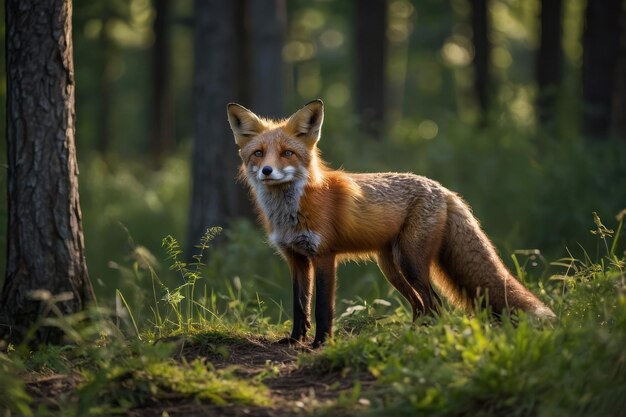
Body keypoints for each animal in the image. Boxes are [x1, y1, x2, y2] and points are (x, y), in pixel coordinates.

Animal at [227, 99, 552, 346]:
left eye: (287, 153)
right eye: (258, 153)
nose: (267, 171)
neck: (292, 210)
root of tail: (443, 189)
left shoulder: (324, 255)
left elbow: (321, 308)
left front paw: (320, 343)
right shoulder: (295, 258)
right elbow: (299, 305)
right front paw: (295, 340)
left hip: (410, 262)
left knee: (435, 304)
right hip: (391, 267)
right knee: (421, 307)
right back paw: (411, 336)